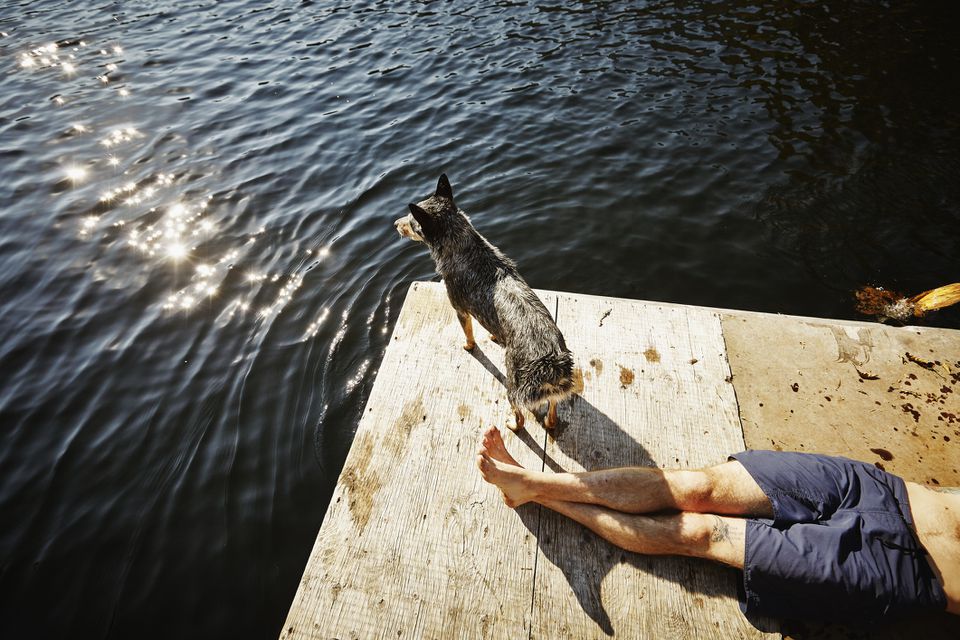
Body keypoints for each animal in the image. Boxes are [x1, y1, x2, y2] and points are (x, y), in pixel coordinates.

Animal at [394, 174, 572, 430]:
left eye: (410, 221)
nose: (395, 224)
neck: (464, 245)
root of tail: (552, 364)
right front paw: (493, 336)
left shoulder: (459, 309)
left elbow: (468, 333)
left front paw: (469, 346)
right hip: (551, 397)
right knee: (553, 411)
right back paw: (550, 421)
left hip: (512, 386)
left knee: (519, 416)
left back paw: (512, 425)